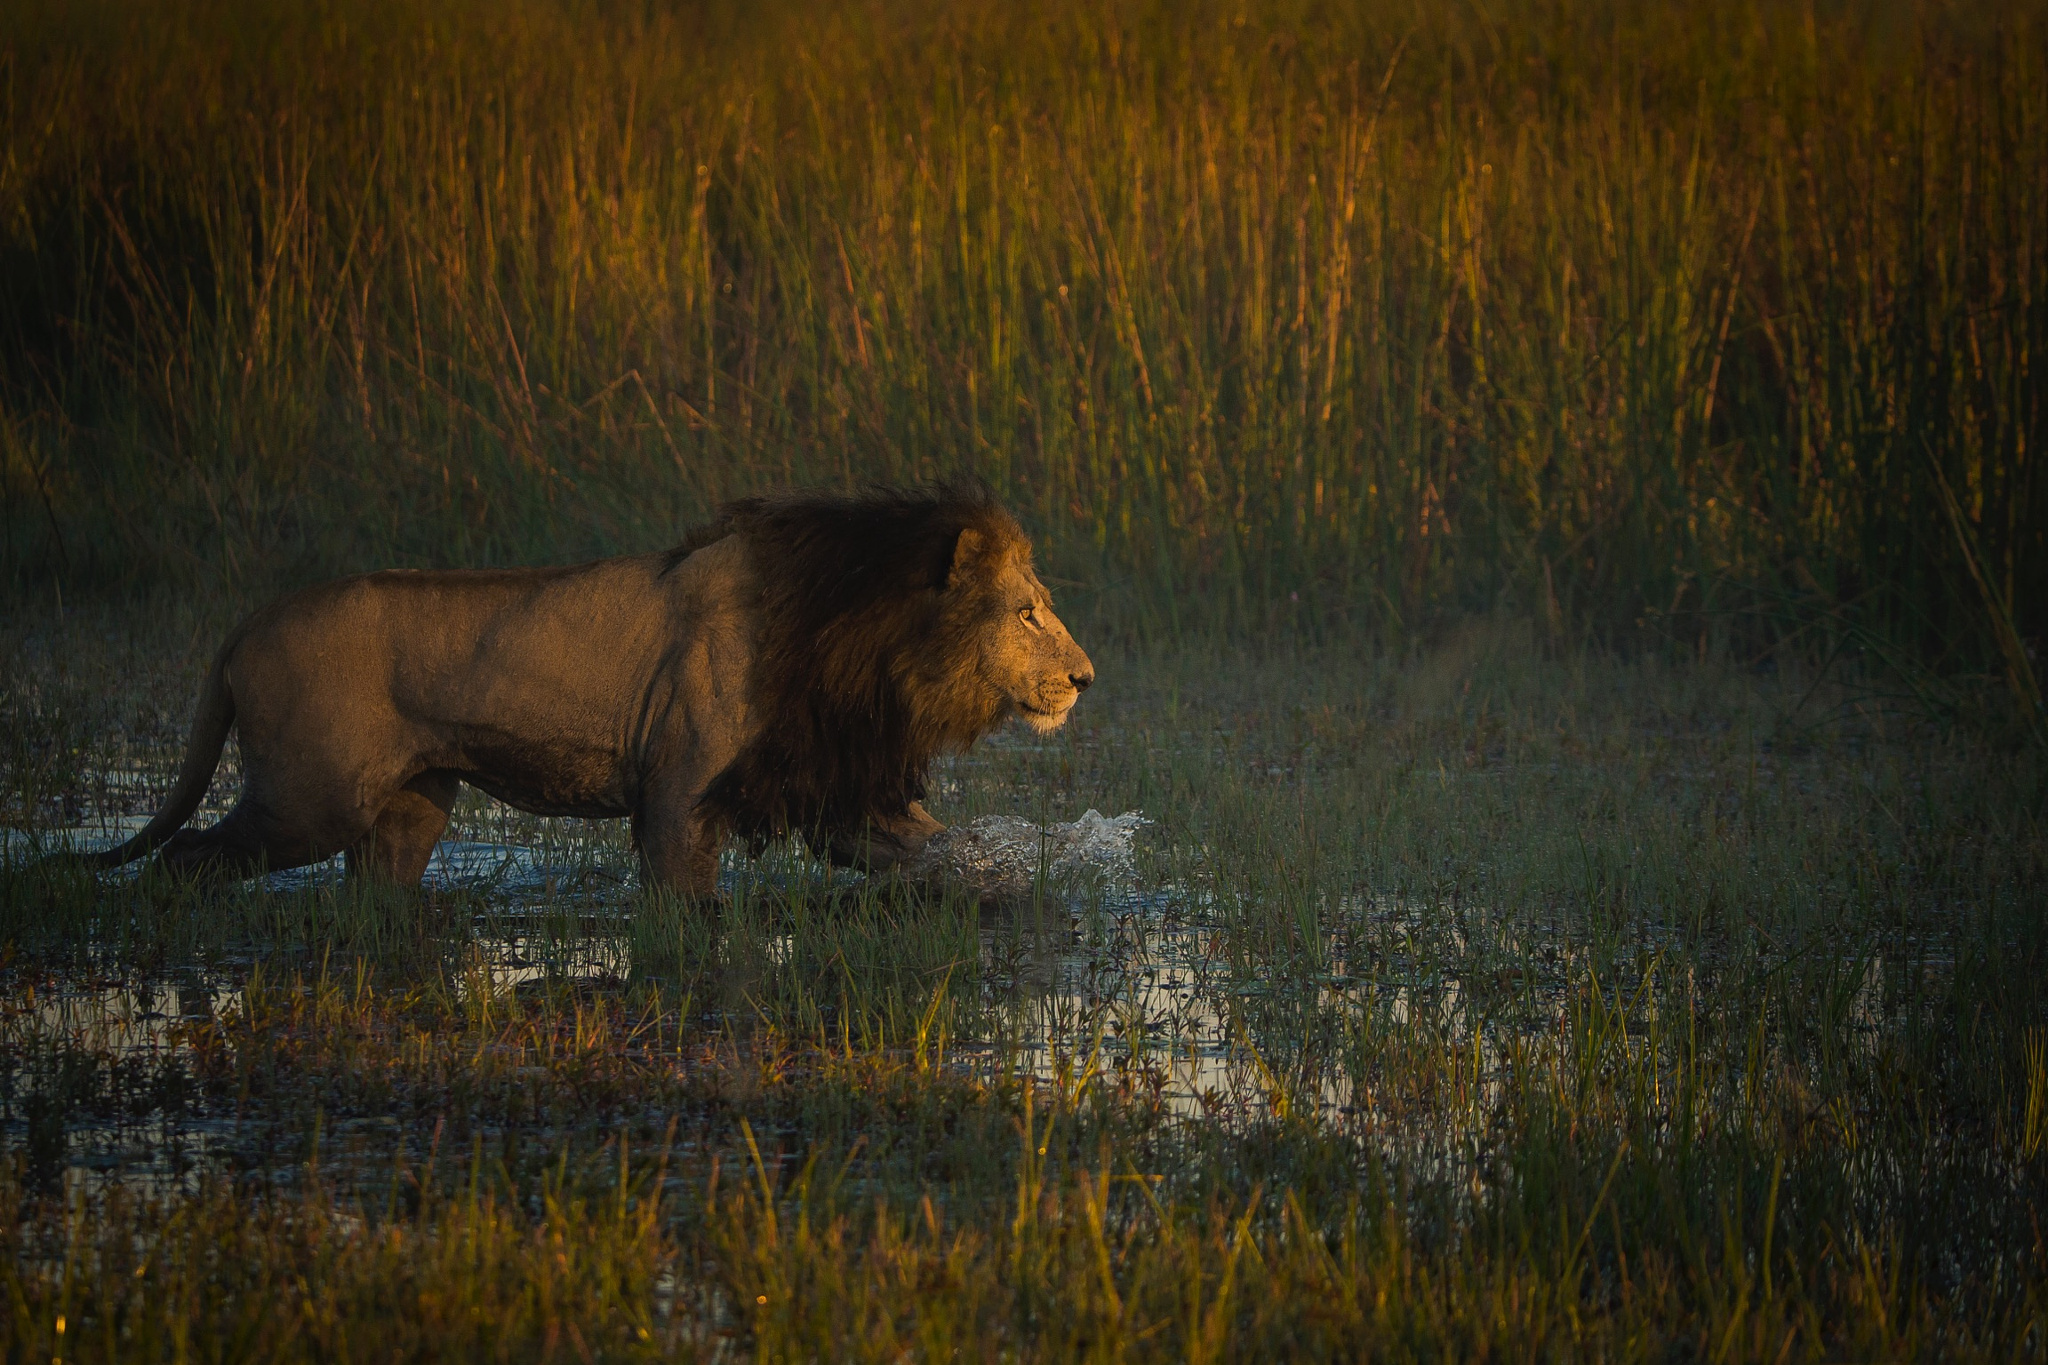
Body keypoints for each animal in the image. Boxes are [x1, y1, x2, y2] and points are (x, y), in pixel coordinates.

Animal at [88, 485, 1097, 900]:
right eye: (1029, 613)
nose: (1086, 677)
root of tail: (245, 624)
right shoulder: (682, 790)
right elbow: (685, 901)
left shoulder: (828, 789)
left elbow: (933, 851)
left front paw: (1007, 889)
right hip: (309, 796)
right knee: (184, 857)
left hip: (409, 809)